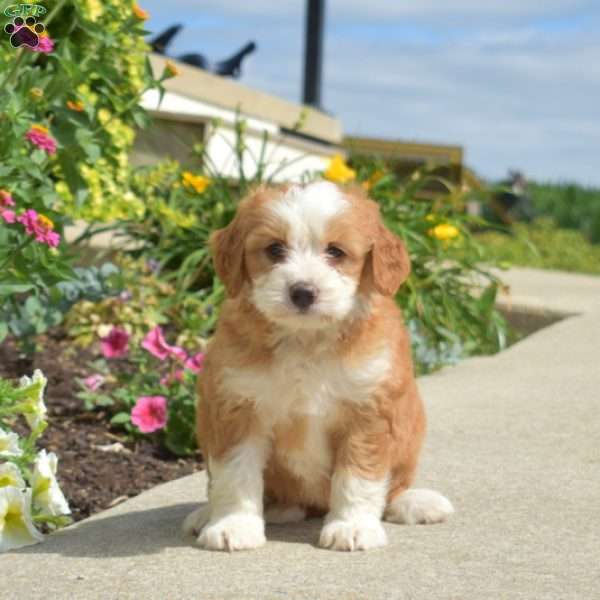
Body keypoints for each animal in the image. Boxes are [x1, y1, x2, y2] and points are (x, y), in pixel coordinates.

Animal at [184, 180, 454, 552]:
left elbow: (358, 477)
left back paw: (416, 502)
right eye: (274, 249)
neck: (306, 340)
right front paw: (233, 525)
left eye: (336, 252)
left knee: (394, 488)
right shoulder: (236, 406)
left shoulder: (369, 410)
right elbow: (235, 474)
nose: (302, 292)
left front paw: (352, 527)